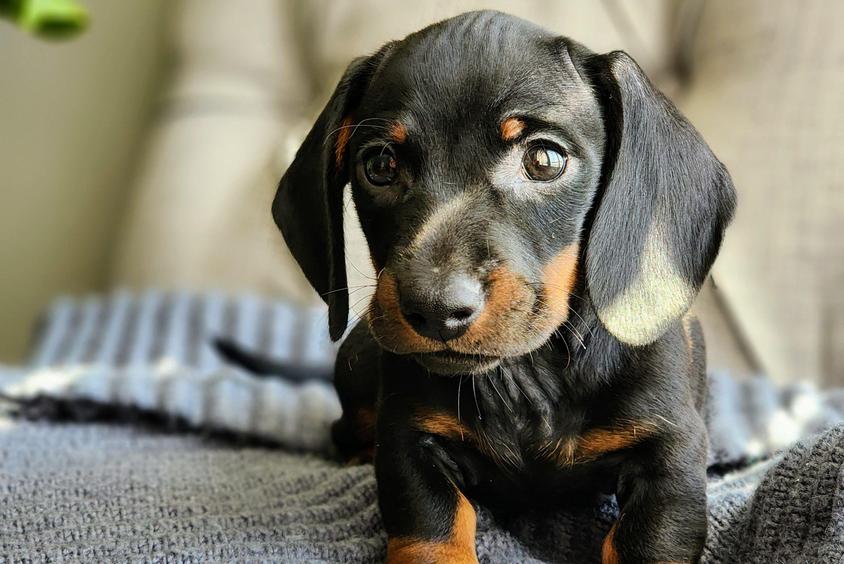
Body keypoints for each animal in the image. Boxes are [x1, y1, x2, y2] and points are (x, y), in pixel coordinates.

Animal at [276, 9, 732, 564]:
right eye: (380, 164)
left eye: (545, 159)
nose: (435, 308)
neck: (526, 375)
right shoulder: (408, 439)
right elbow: (431, 528)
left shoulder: (672, 453)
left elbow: (649, 536)